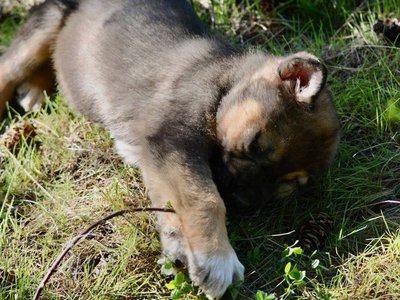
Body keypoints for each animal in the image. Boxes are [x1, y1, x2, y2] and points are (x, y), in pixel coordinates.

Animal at [0, 1, 340, 298]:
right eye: (256, 142)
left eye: (289, 184)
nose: (238, 200)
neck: (224, 83)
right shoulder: (173, 140)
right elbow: (205, 198)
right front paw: (217, 258)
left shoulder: (159, 157)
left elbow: (173, 201)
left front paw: (180, 248)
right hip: (43, 24)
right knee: (10, 68)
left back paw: (35, 90)